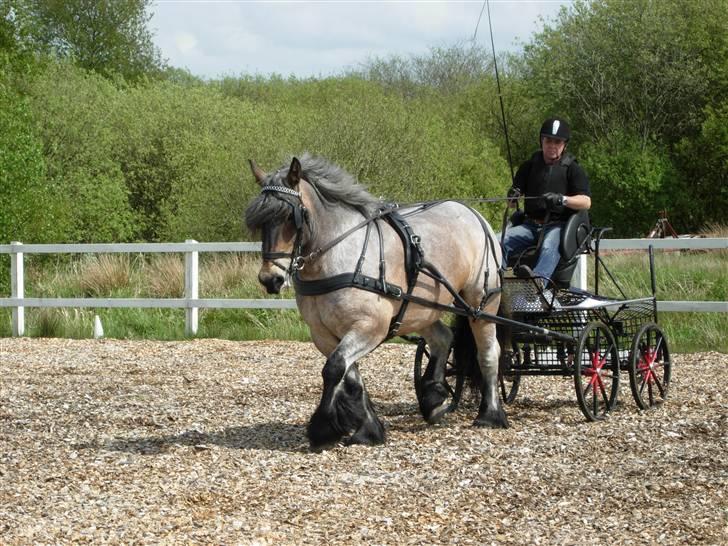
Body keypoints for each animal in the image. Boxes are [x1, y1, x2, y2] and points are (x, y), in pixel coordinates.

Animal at [245, 152, 506, 446]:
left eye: (291, 217)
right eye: (259, 222)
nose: (270, 279)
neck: (338, 256)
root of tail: (473, 214)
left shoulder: (370, 327)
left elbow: (334, 368)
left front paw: (323, 429)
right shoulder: (323, 334)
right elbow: (350, 376)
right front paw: (368, 429)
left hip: (480, 303)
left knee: (488, 353)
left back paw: (490, 414)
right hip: (421, 308)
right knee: (443, 338)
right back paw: (433, 398)